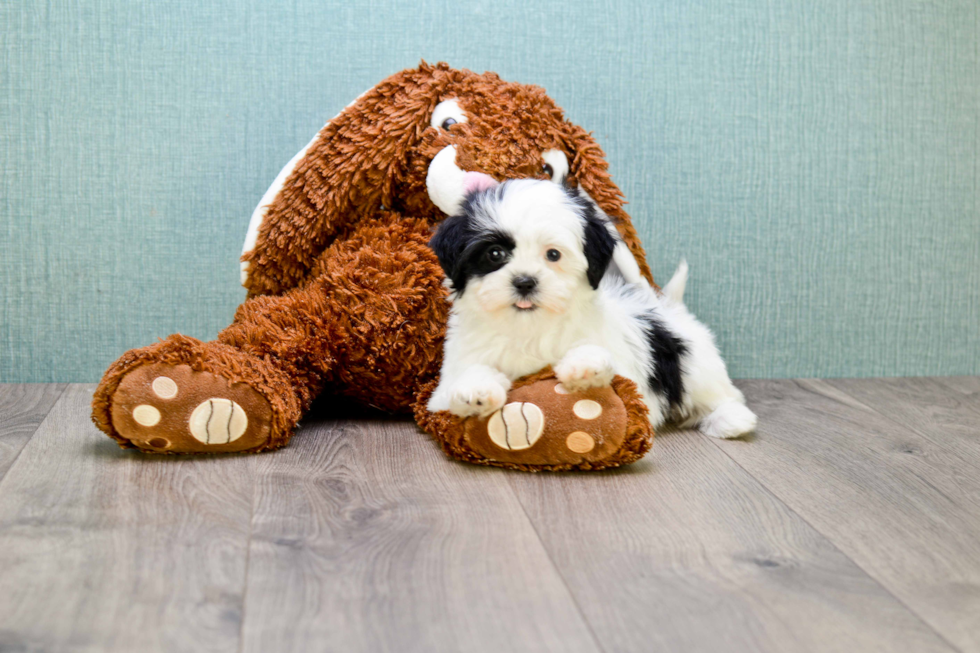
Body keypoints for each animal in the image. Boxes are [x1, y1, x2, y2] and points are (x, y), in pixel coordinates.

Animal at [424, 178, 756, 438]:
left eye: (553, 255)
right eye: (494, 254)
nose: (525, 281)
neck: (530, 326)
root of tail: (667, 305)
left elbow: (603, 362)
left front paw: (584, 366)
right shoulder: (447, 382)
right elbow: (465, 378)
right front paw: (476, 390)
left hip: (696, 367)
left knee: (721, 393)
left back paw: (731, 419)